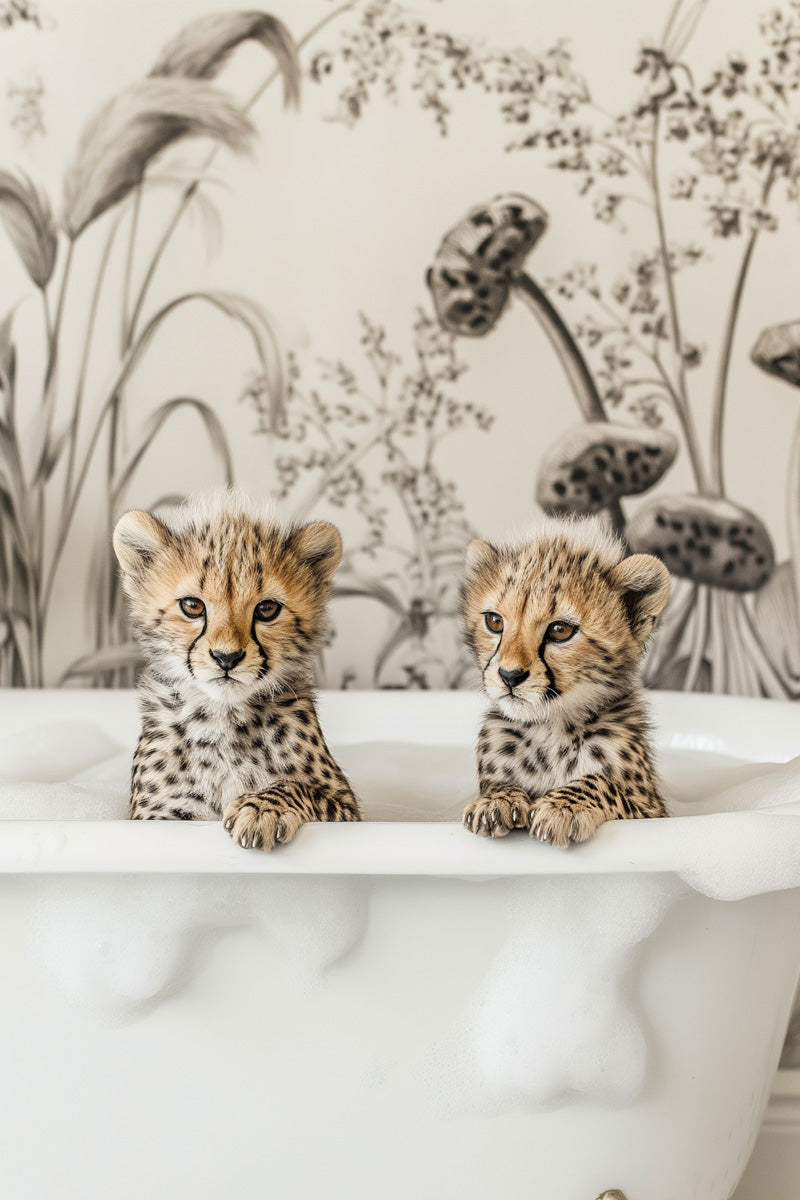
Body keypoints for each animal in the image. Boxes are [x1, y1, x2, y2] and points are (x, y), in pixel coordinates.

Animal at [113, 490, 360, 850]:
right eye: (192, 606)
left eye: (267, 609)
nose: (226, 657)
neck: (224, 716)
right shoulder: (158, 815)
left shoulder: (345, 805)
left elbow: (295, 786)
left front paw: (261, 809)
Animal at [460, 516, 671, 848]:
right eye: (494, 621)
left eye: (560, 630)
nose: (509, 676)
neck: (552, 726)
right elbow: (499, 786)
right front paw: (497, 801)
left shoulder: (653, 811)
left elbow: (602, 781)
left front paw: (562, 806)